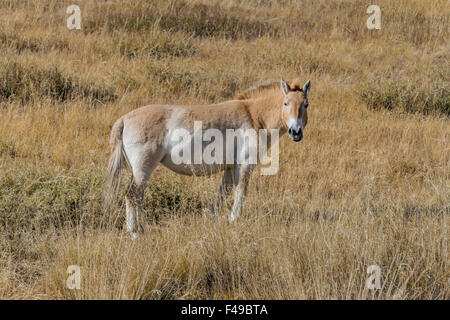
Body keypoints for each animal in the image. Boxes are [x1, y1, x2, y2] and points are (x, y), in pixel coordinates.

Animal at [103, 77, 312, 238]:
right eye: (286, 103)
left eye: (306, 104)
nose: (296, 132)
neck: (254, 116)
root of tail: (124, 119)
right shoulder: (244, 165)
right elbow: (240, 192)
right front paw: (235, 220)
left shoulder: (230, 167)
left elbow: (222, 194)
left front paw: (213, 220)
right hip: (143, 170)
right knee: (132, 196)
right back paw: (135, 232)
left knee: (137, 197)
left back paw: (142, 229)